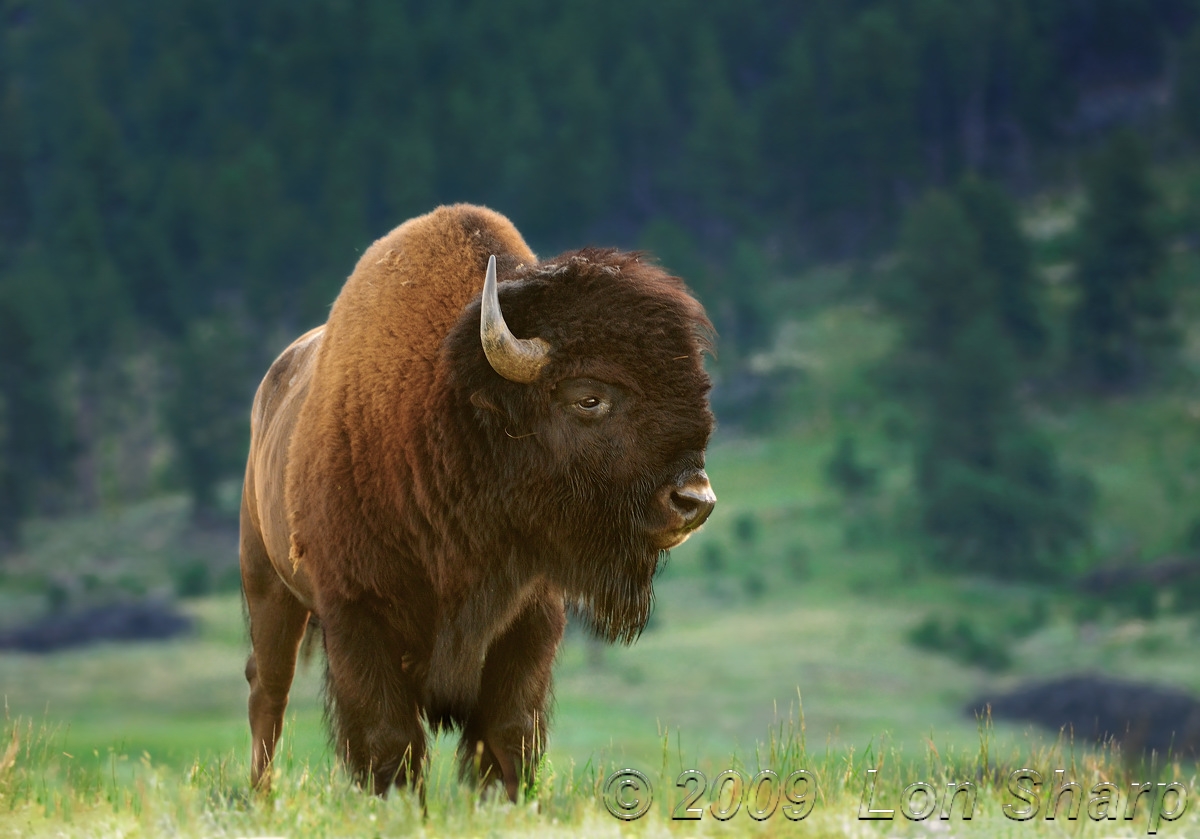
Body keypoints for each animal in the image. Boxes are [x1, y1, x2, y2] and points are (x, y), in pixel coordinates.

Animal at [240, 204, 716, 798]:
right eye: (589, 397)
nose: (694, 499)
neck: (452, 415)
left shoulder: (530, 621)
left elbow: (507, 735)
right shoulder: (356, 614)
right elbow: (389, 740)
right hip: (267, 583)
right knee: (268, 691)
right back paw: (261, 798)